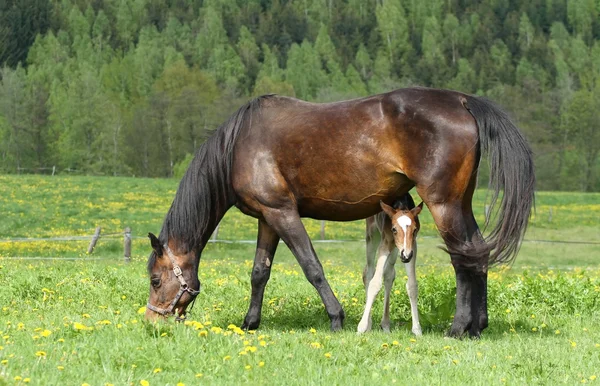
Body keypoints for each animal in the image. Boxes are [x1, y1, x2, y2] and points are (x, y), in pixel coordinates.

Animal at [358, 199, 424, 334]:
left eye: (414, 230)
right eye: (394, 229)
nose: (406, 256)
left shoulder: (412, 247)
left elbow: (412, 286)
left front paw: (417, 329)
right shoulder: (385, 244)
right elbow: (375, 283)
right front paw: (361, 326)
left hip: (395, 250)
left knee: (389, 274)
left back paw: (385, 324)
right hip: (372, 236)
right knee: (368, 273)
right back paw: (369, 324)